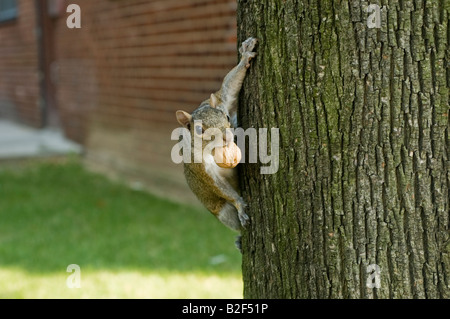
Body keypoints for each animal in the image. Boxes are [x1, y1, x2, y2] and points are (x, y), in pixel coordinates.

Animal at [174, 38, 256, 252]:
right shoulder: (201, 168)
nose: (227, 137)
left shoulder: (222, 100)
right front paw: (241, 205)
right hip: (222, 212)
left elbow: (228, 89)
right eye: (199, 130)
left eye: (225, 116)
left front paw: (245, 56)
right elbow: (218, 185)